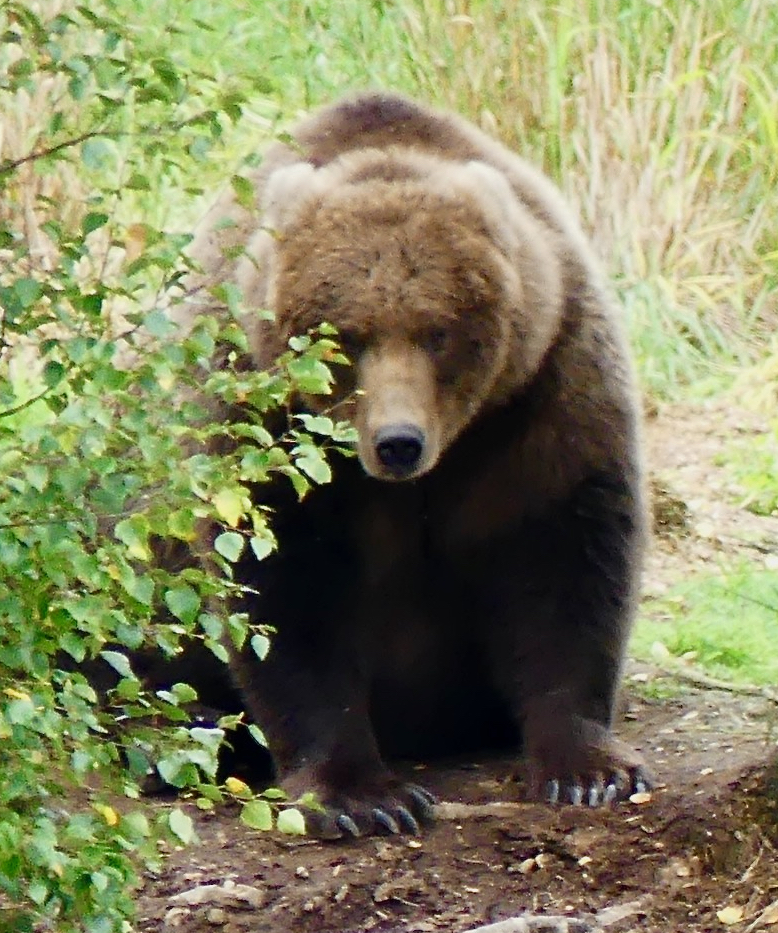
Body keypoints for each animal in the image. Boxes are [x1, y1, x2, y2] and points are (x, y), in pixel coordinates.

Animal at [178, 91, 651, 838]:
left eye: (438, 331)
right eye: (347, 336)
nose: (398, 441)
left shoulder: (542, 386)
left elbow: (565, 552)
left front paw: (588, 770)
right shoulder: (259, 411)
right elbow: (284, 586)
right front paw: (365, 797)